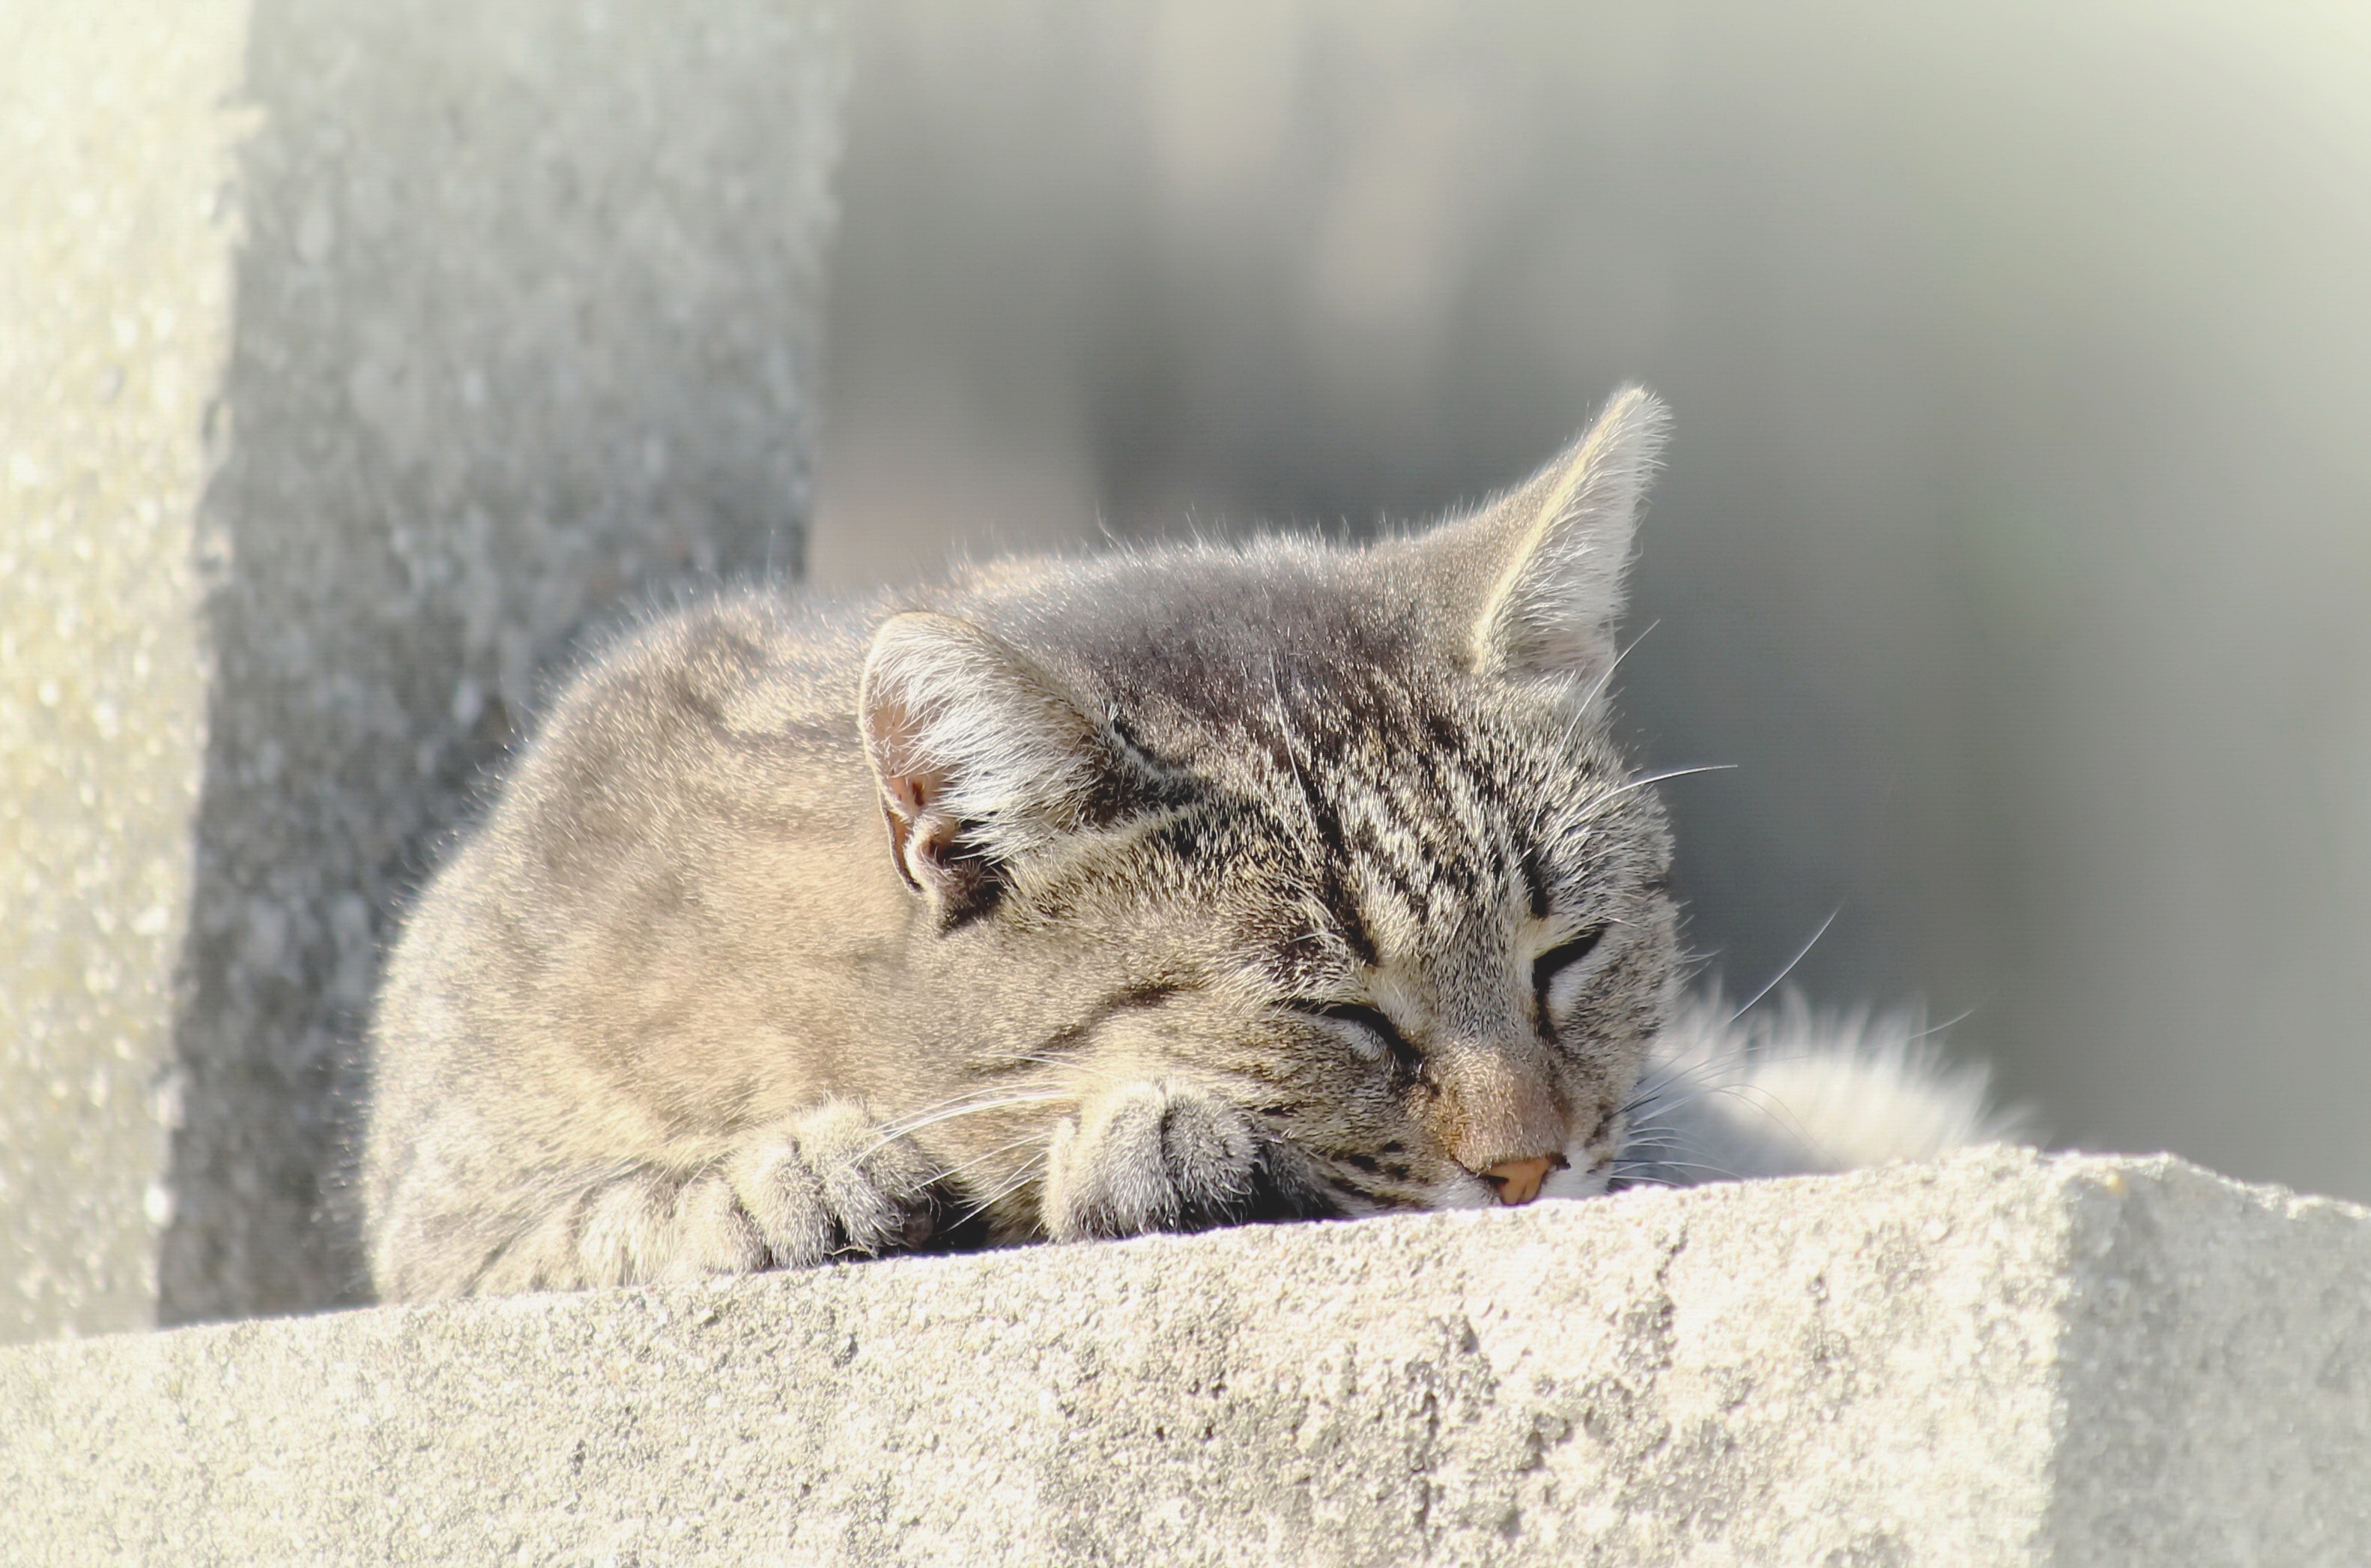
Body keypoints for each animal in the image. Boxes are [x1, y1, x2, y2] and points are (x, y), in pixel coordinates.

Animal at [365, 389, 2020, 1300]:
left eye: (1571, 951)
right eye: (1339, 1009)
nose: (1529, 1166)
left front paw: (1158, 1139)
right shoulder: (431, 1202)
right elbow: (567, 1212)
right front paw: (768, 1180)